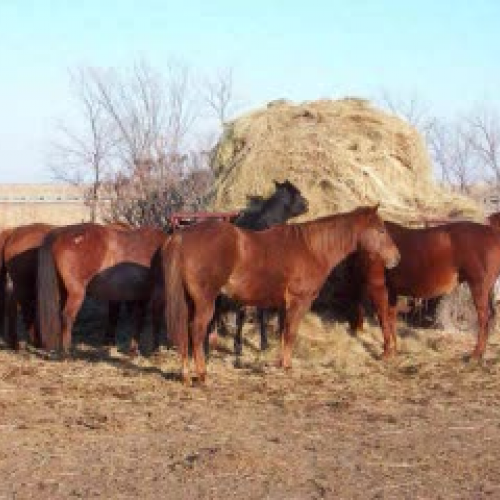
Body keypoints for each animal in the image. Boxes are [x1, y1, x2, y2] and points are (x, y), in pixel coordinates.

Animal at [38, 223, 168, 356]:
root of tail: (58, 235)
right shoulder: (156, 296)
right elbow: (155, 320)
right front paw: (155, 349)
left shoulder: (140, 297)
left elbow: (138, 320)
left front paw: (134, 350)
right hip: (76, 294)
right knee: (67, 317)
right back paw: (66, 352)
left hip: (63, 292)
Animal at [162, 205, 400, 384]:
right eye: (380, 230)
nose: (396, 259)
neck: (312, 249)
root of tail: (182, 236)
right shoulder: (299, 302)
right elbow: (291, 333)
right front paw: (287, 367)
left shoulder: (285, 305)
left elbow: (284, 333)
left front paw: (280, 363)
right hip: (205, 301)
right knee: (196, 332)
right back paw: (202, 375)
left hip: (190, 301)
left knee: (184, 332)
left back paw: (186, 375)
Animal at [352, 221, 500, 358]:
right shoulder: (392, 291)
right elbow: (391, 318)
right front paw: (394, 350)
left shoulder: (378, 288)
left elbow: (383, 320)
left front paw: (386, 352)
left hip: (478, 287)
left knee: (483, 319)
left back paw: (475, 354)